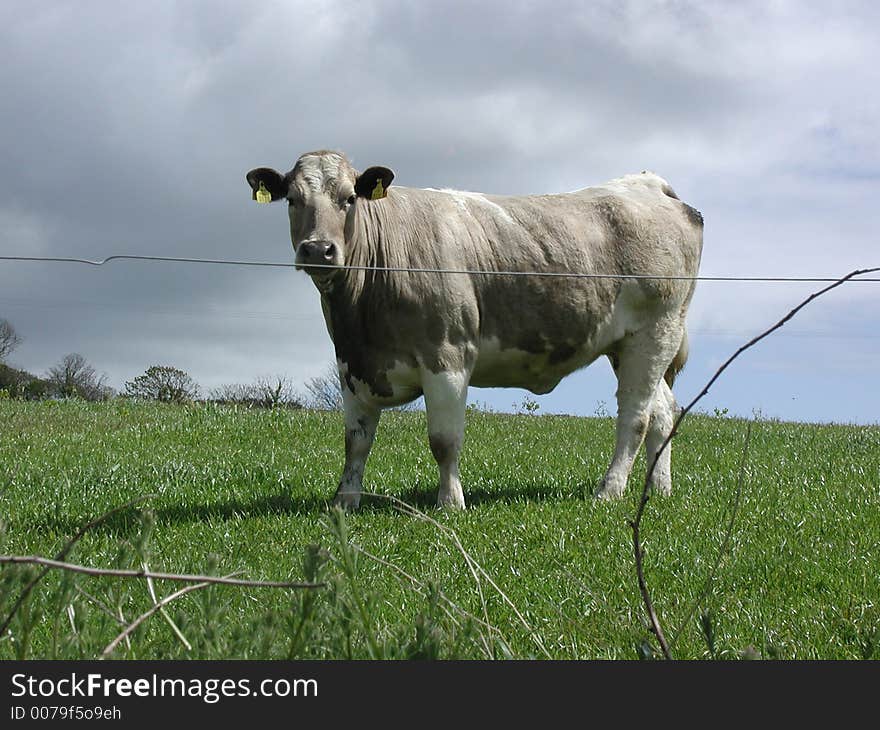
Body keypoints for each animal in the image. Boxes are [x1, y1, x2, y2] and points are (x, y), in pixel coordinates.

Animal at [246, 151, 700, 510]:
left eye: (349, 198)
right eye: (293, 199)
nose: (318, 250)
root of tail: (646, 183)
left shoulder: (447, 356)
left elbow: (444, 440)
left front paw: (450, 503)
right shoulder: (351, 368)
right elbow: (355, 442)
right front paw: (344, 501)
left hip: (655, 331)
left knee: (636, 417)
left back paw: (609, 491)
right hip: (628, 345)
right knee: (663, 411)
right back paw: (659, 490)